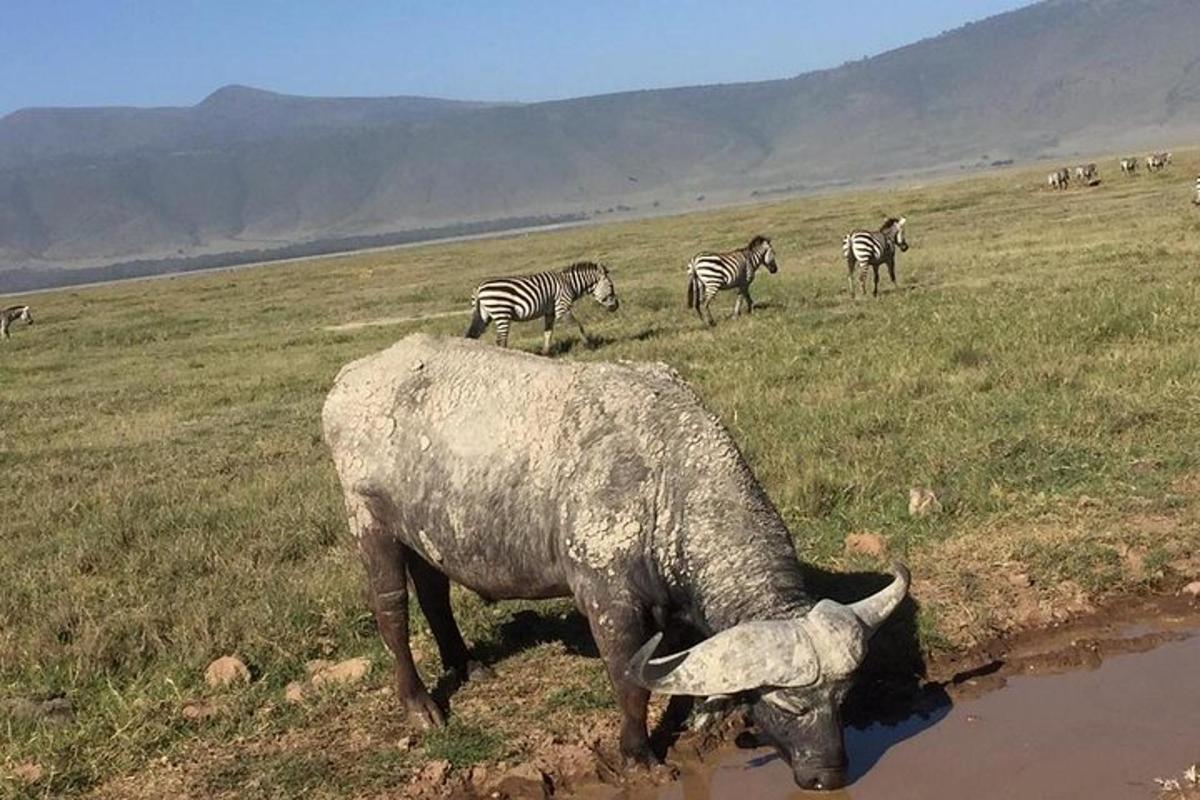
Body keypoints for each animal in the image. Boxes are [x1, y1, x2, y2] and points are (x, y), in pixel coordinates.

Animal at [463, 261, 619, 355]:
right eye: (611, 286)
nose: (617, 306)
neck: (570, 284)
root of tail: (478, 288)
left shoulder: (550, 312)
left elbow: (548, 333)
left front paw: (545, 353)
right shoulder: (562, 308)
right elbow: (578, 326)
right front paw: (589, 345)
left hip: (484, 316)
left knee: (472, 335)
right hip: (502, 313)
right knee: (500, 340)